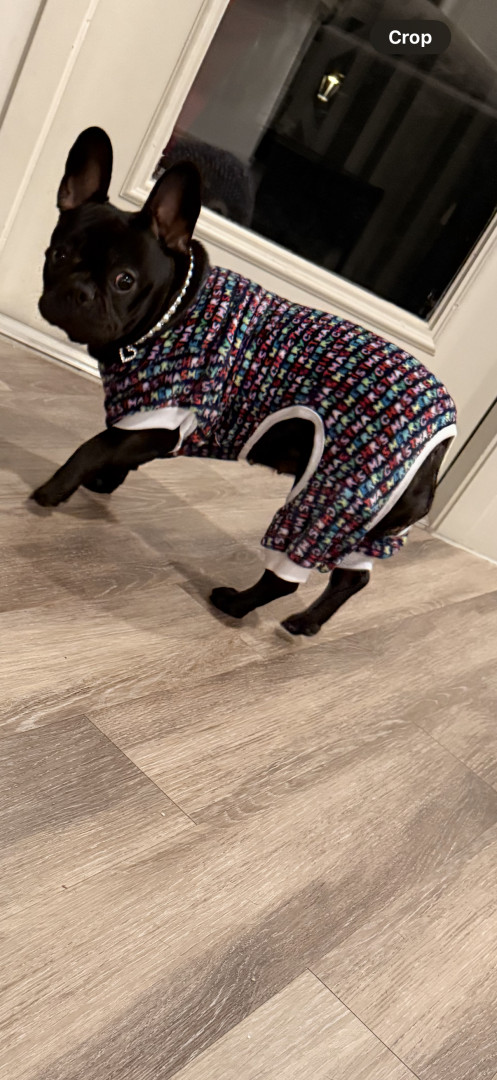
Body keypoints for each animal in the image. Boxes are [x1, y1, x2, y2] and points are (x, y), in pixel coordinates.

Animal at [33, 126, 457, 636]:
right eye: (57, 255)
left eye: (124, 280)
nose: (76, 291)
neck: (173, 311)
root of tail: (439, 441)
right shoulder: (151, 426)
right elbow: (117, 455)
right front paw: (103, 483)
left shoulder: (159, 418)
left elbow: (91, 446)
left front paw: (52, 491)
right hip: (366, 523)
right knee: (351, 579)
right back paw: (304, 624)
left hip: (328, 498)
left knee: (288, 575)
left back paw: (234, 604)